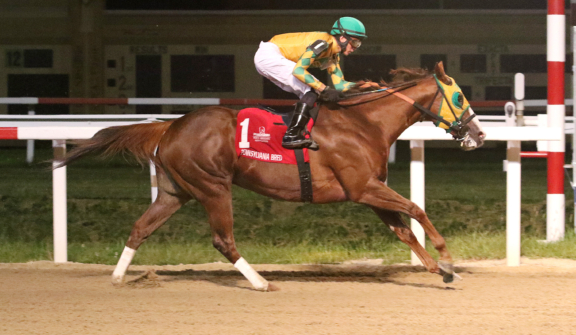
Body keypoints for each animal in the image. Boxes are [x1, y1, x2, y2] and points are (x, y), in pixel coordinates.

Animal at [57, 62, 482, 292]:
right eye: (459, 97)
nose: (478, 135)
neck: (365, 123)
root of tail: (170, 126)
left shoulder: (370, 191)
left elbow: (404, 229)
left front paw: (441, 272)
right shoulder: (364, 188)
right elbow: (417, 210)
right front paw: (447, 262)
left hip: (175, 191)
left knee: (140, 228)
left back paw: (117, 277)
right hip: (213, 185)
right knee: (223, 239)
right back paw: (261, 282)